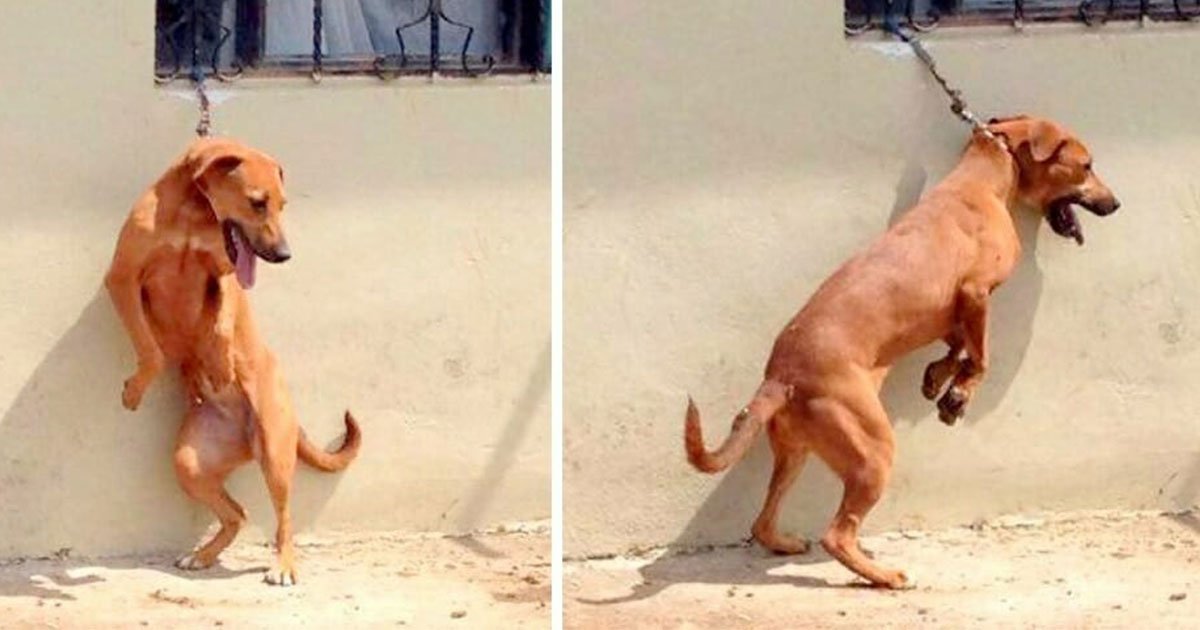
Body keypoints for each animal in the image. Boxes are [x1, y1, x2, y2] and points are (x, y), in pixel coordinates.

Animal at [106, 136, 360, 585]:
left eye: (283, 204)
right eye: (257, 202)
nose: (285, 254)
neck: (193, 212)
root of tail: (247, 436)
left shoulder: (223, 274)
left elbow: (223, 321)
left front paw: (221, 362)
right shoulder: (122, 279)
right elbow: (151, 351)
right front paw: (135, 390)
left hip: (274, 453)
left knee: (284, 520)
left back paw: (284, 565)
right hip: (190, 462)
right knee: (237, 514)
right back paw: (204, 555)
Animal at [691, 115, 1118, 588]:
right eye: (1086, 165)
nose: (1116, 204)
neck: (985, 174)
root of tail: (779, 377)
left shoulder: (950, 311)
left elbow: (959, 346)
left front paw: (938, 378)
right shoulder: (976, 293)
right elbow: (982, 355)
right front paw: (958, 393)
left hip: (796, 451)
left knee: (762, 522)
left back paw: (786, 543)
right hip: (872, 449)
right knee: (837, 535)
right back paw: (883, 576)